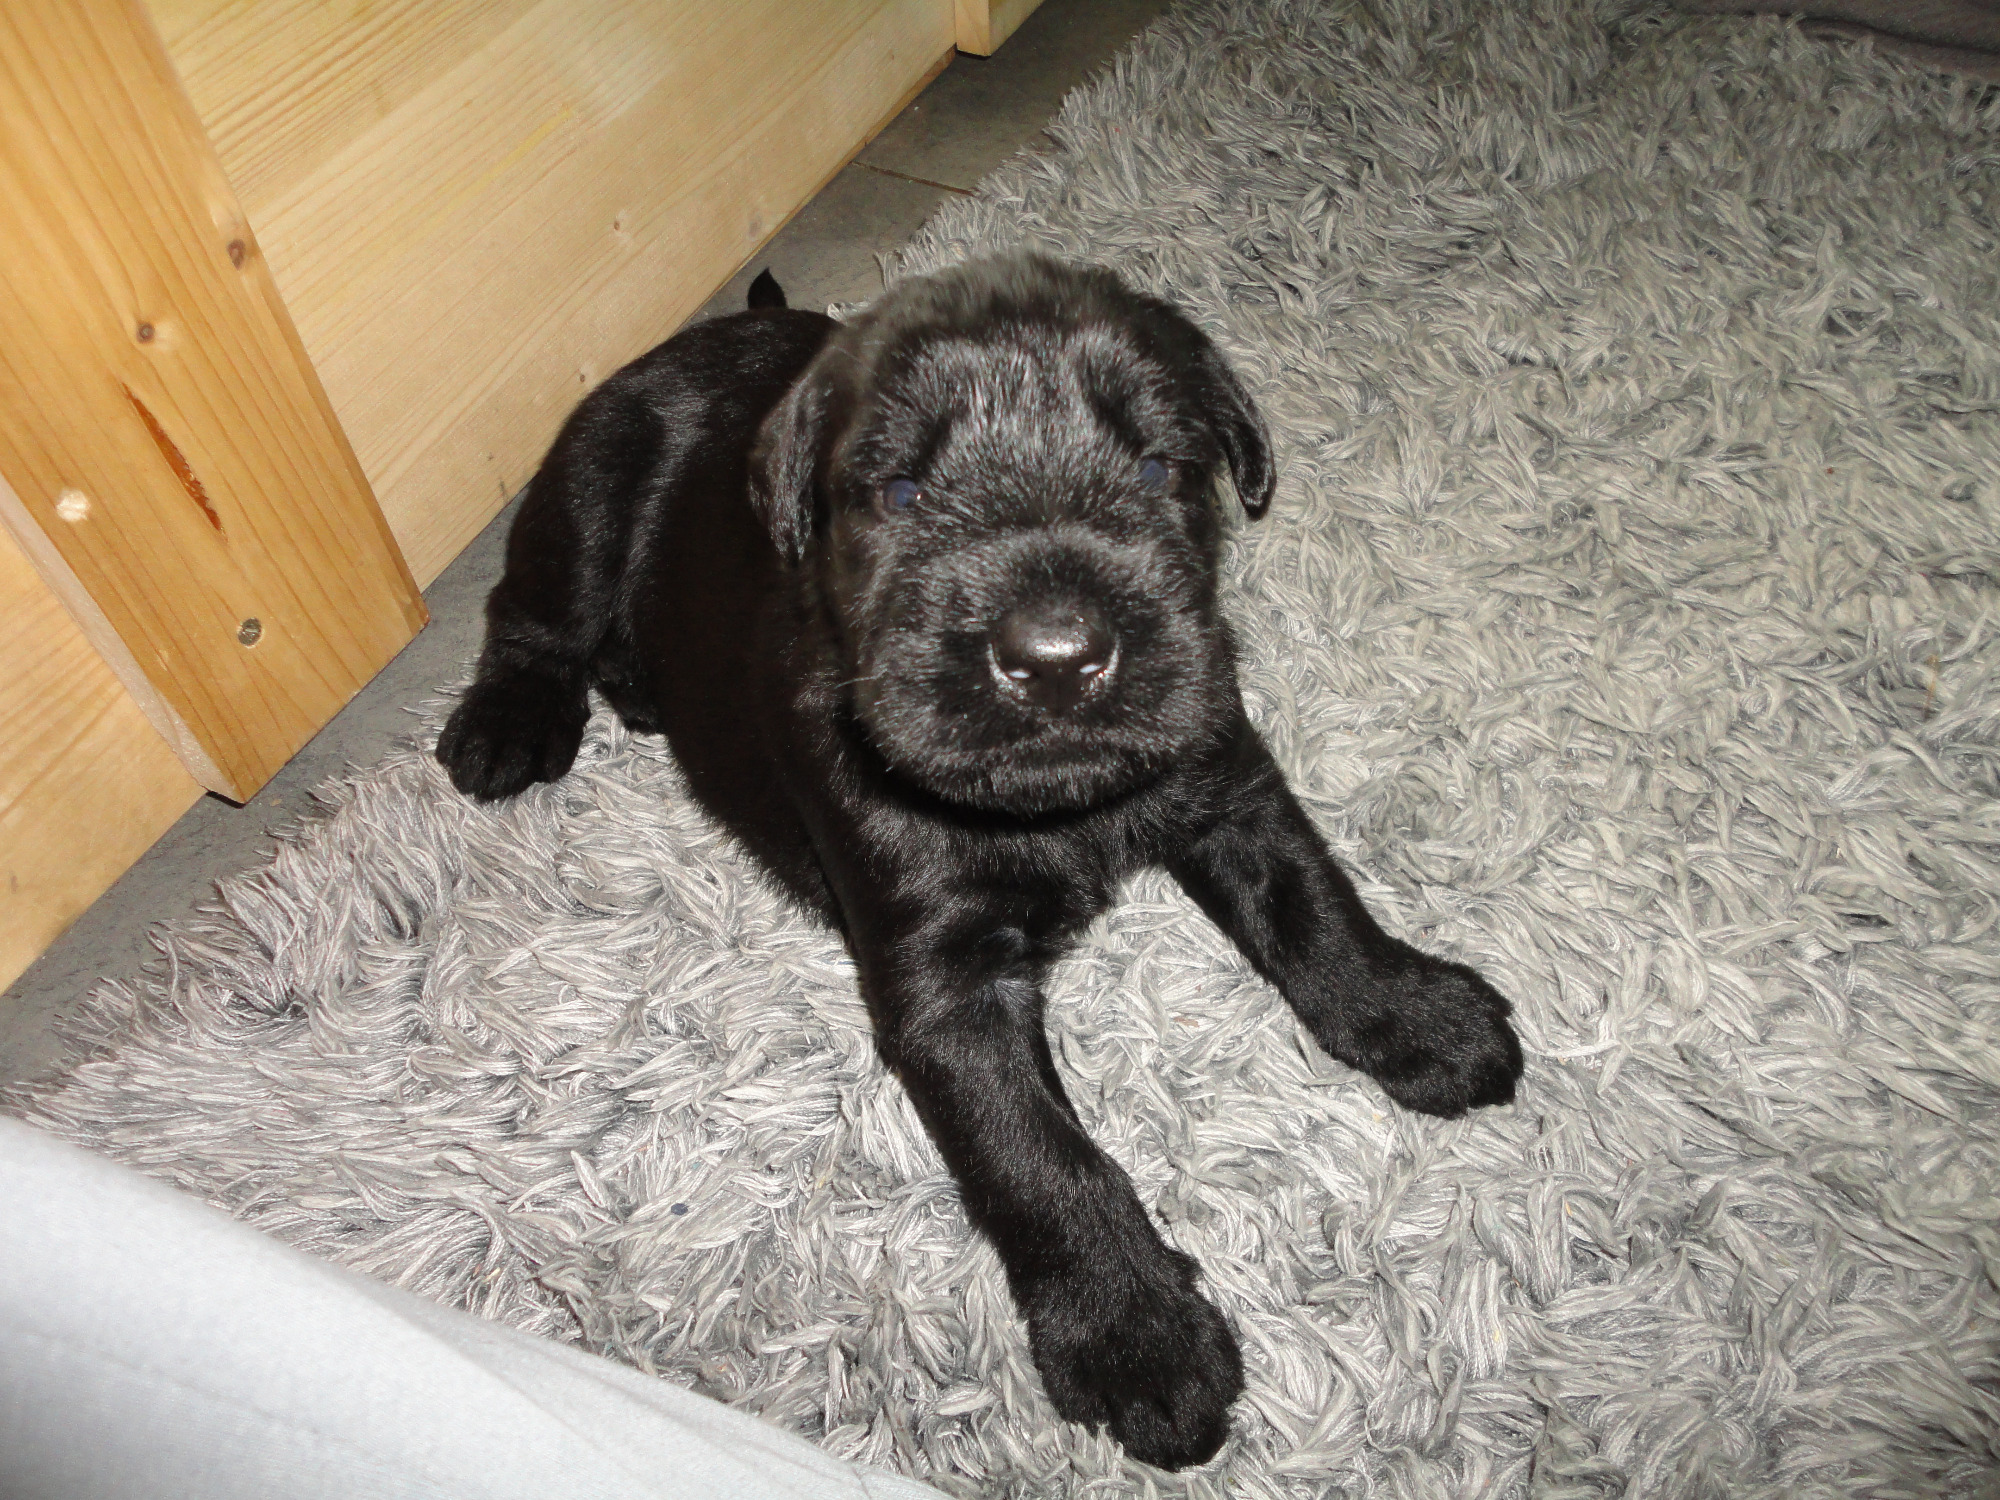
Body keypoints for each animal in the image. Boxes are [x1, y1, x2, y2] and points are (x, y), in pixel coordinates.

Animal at [437, 253, 1523, 1470]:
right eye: (901, 492)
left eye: (1160, 467)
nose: (1055, 658)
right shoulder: (946, 980)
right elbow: (1035, 1154)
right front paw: (1133, 1335)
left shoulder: (1226, 781)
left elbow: (1313, 902)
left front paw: (1414, 1013)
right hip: (581, 493)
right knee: (530, 618)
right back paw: (510, 722)